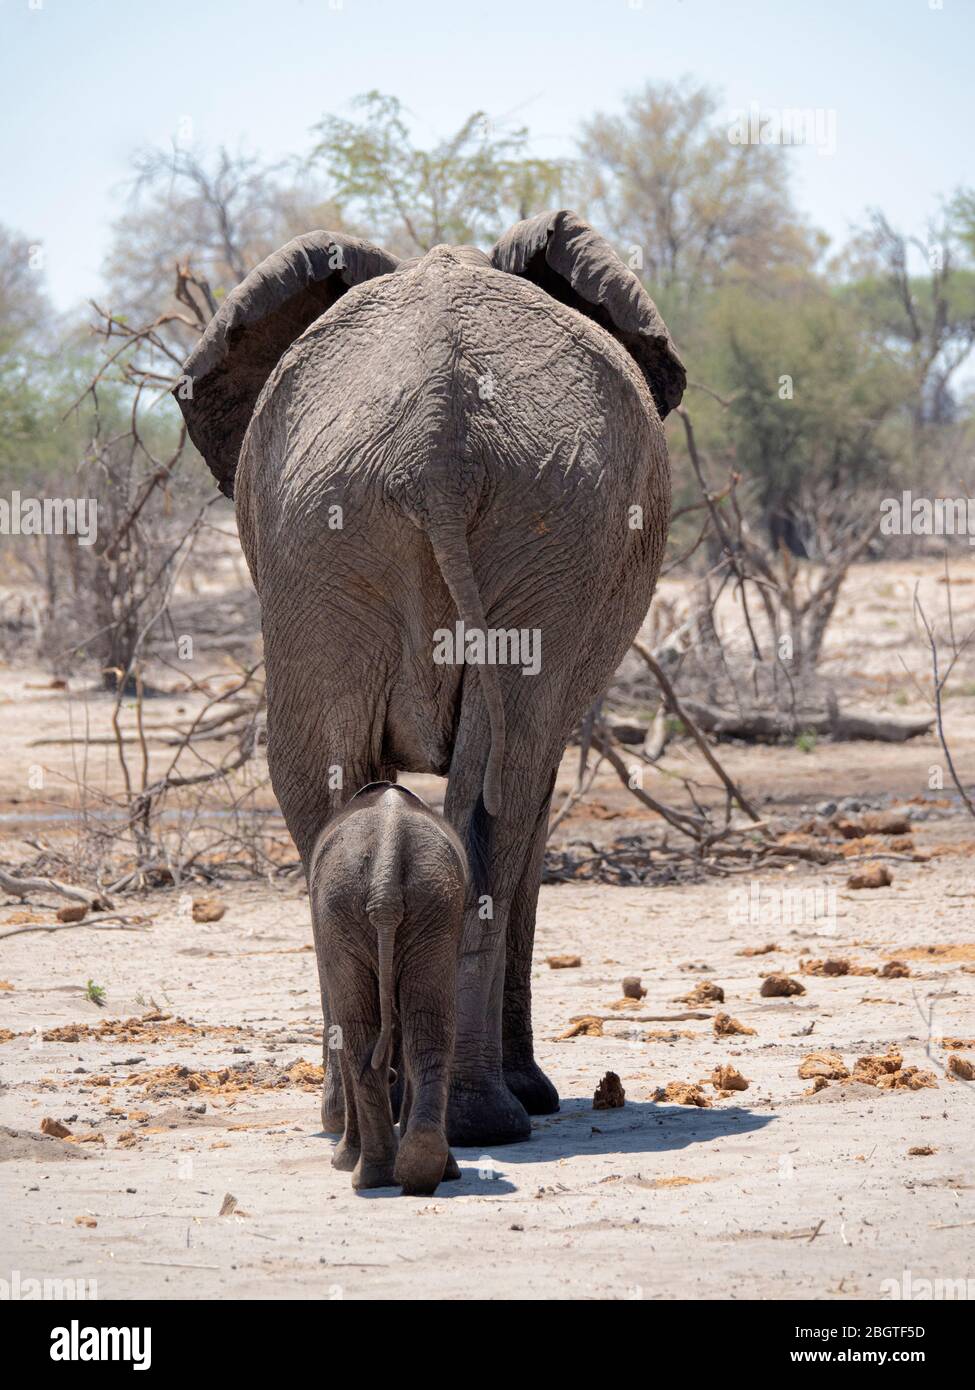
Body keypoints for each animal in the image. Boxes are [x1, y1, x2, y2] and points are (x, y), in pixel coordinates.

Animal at [174, 208, 685, 1148]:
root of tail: (437, 446)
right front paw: (528, 1096)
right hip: (396, 525)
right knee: (492, 799)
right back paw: (470, 1119)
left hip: (380, 531)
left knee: (363, 789)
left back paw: (412, 1120)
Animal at [310, 781, 467, 1194]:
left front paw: (341, 1161)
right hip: (434, 905)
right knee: (428, 1029)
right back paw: (424, 1165)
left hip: (344, 906)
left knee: (359, 1033)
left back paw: (368, 1177)